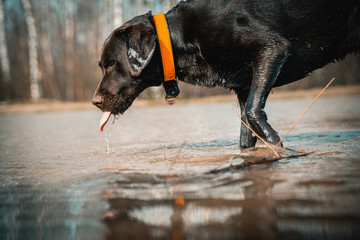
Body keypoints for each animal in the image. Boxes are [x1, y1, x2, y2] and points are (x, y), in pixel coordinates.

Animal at [92, 0, 358, 148]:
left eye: (112, 63)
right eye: (101, 65)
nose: (95, 101)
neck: (180, 36)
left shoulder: (272, 48)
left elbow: (253, 113)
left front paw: (279, 146)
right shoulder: (244, 85)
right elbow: (246, 130)